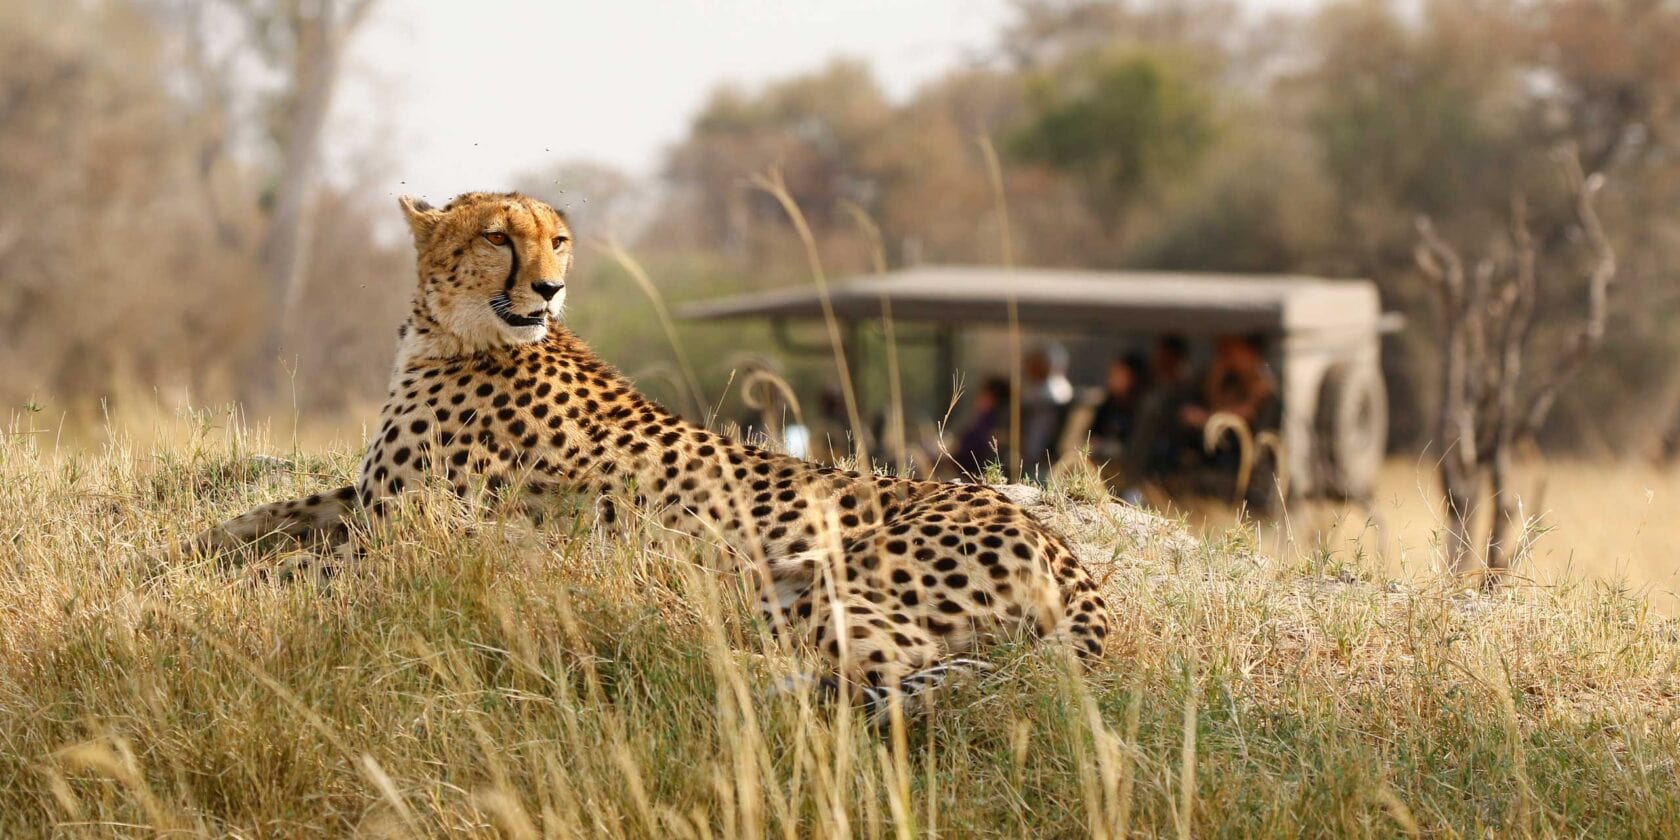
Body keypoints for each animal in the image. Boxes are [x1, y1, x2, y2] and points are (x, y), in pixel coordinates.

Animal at [192, 191, 1113, 714]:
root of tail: (1058, 543)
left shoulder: (405, 530)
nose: (551, 286)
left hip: (814, 580)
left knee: (914, 667)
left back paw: (718, 670)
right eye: (497, 238)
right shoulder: (369, 498)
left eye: (558, 240)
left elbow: (295, 570)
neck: (455, 332)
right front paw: (192, 549)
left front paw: (213, 587)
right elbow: (267, 516)